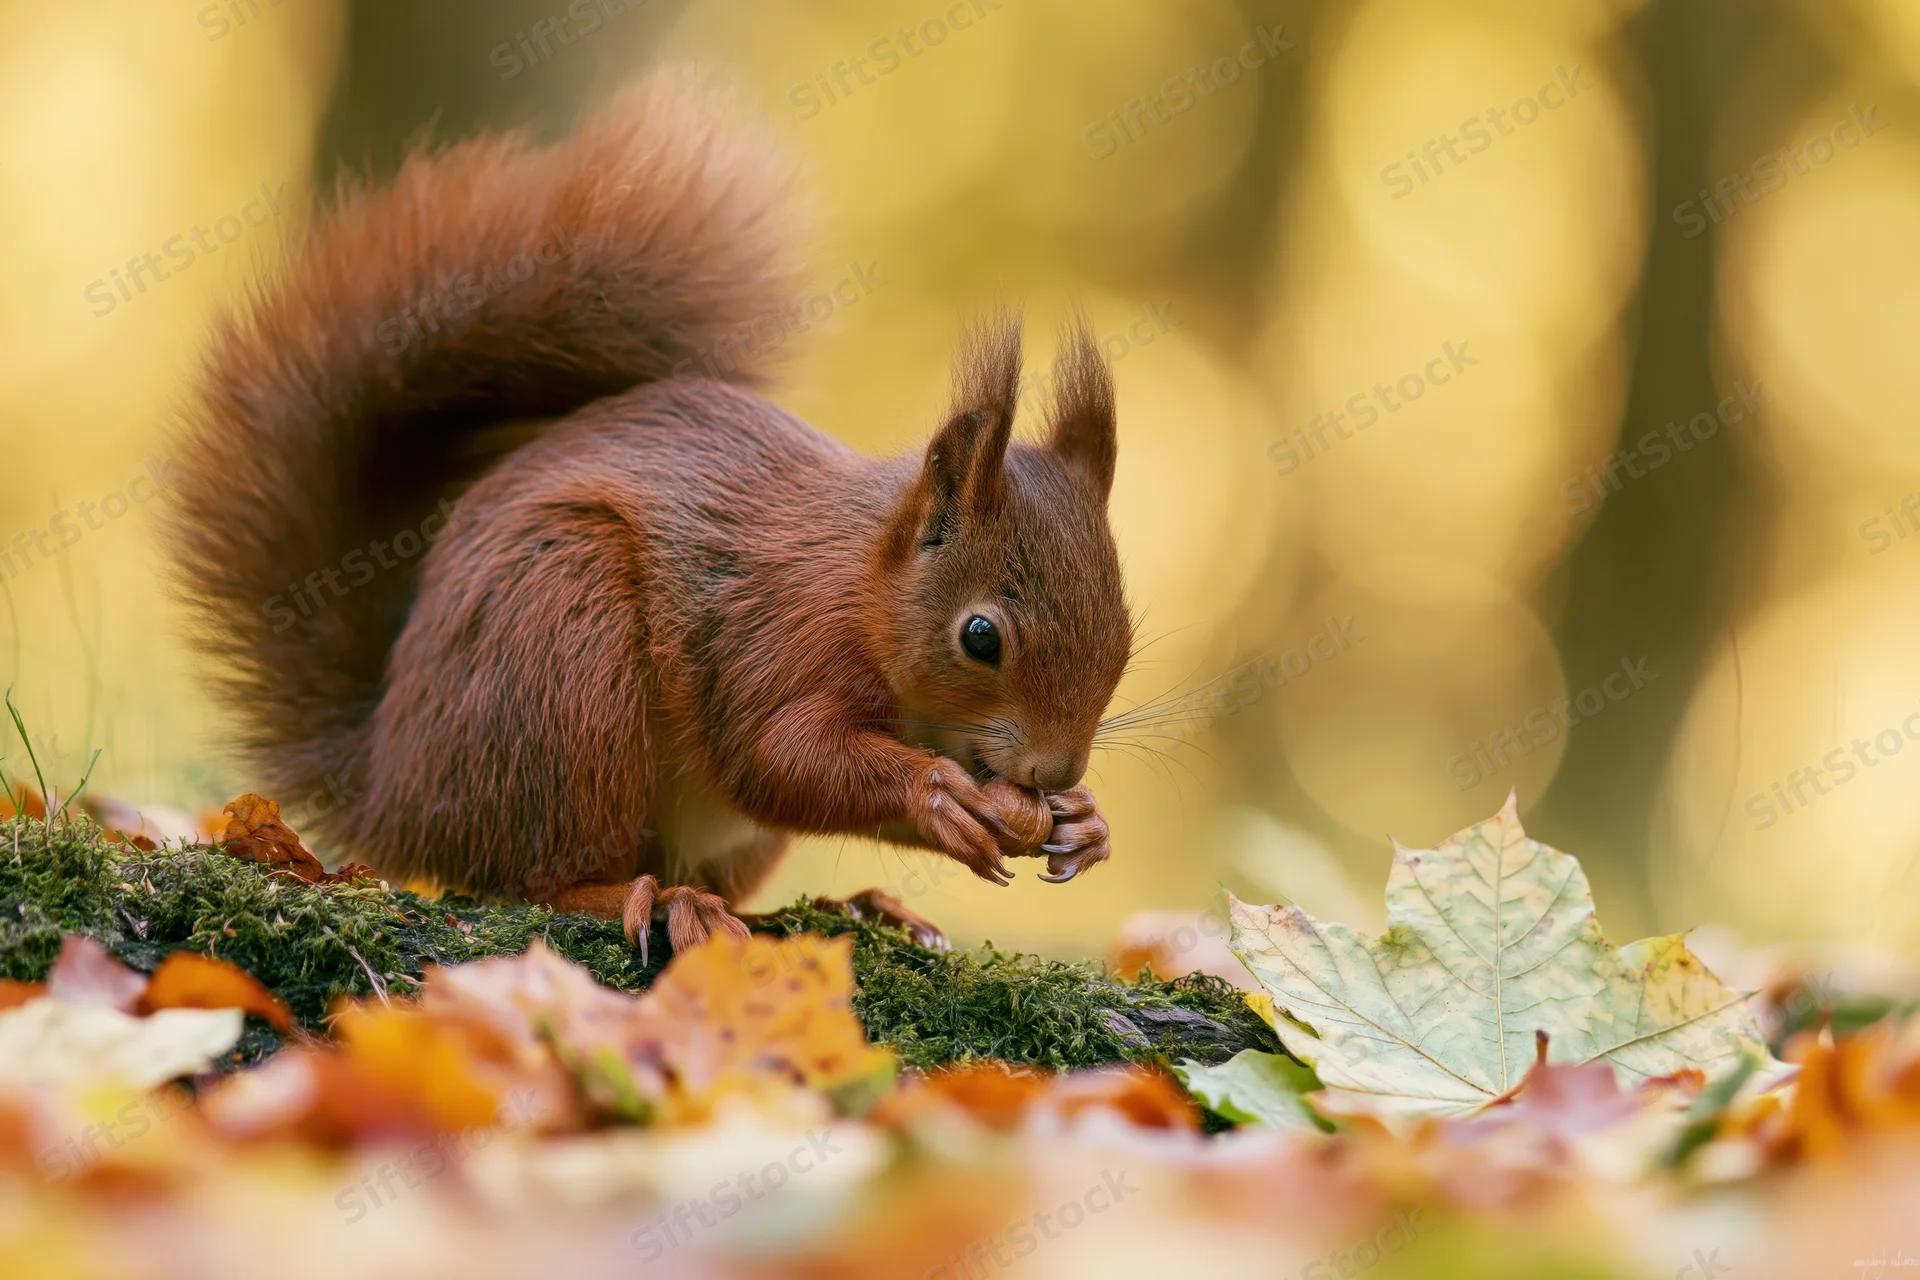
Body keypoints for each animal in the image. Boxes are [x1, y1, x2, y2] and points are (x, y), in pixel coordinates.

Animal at [168, 72, 1132, 958]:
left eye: (1126, 636)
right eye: (980, 637)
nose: (1055, 770)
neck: (865, 583)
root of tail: (391, 785)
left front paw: (1084, 822)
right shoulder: (774, 638)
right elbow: (775, 754)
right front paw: (940, 795)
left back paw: (843, 907)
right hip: (562, 656)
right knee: (534, 878)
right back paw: (651, 899)